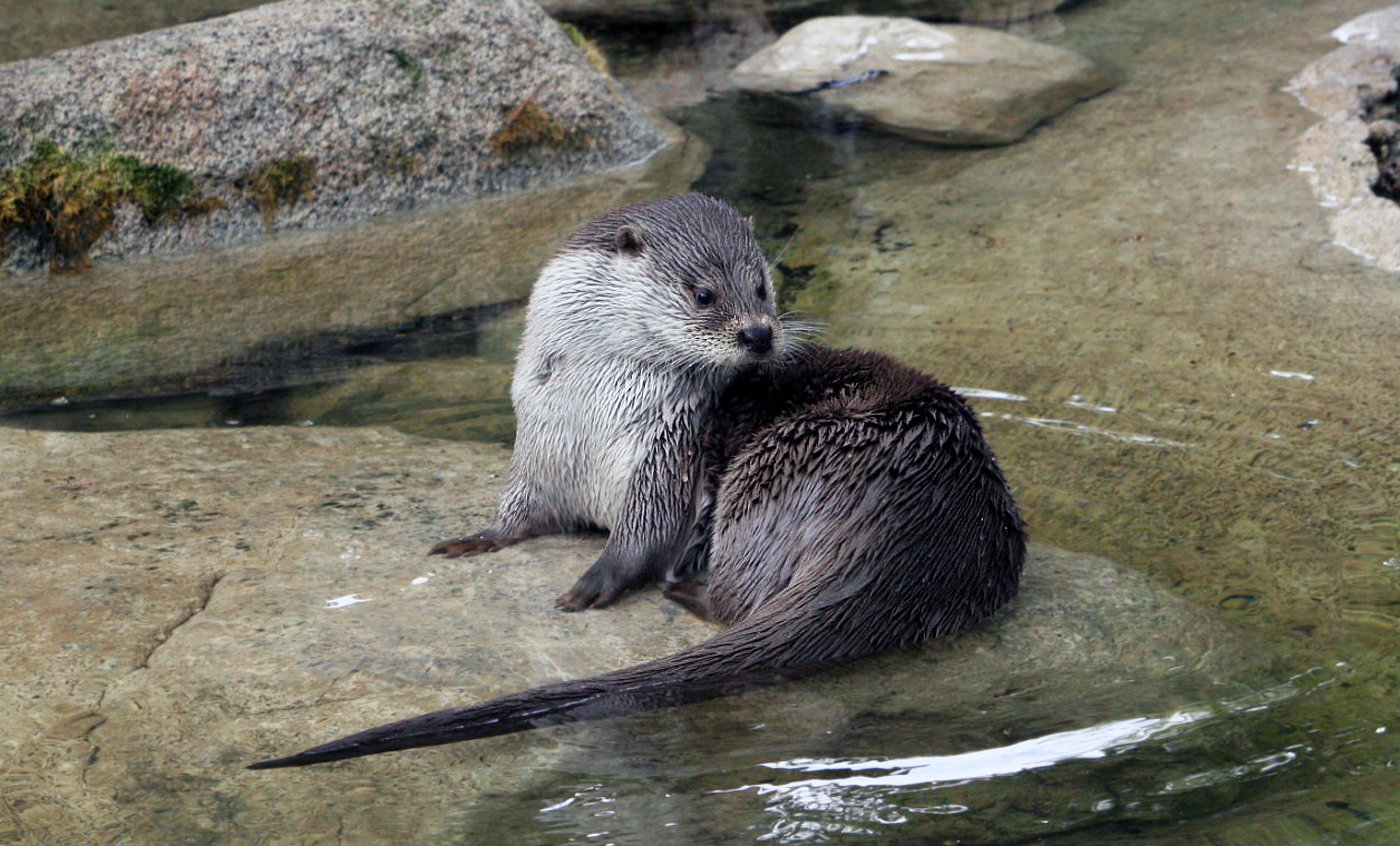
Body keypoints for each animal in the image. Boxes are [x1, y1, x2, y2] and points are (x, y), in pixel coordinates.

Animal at [246, 194, 1024, 767]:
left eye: (762, 284)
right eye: (704, 292)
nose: (760, 335)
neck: (589, 407)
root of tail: (920, 520)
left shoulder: (666, 450)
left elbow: (643, 532)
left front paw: (597, 580)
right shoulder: (536, 445)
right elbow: (518, 514)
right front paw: (478, 538)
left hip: (774, 467)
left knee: (736, 599)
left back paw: (686, 587)